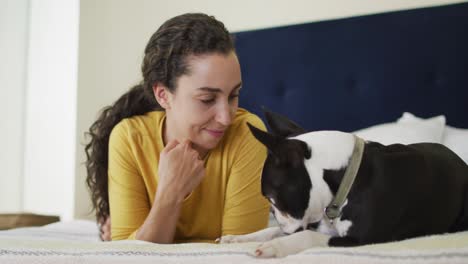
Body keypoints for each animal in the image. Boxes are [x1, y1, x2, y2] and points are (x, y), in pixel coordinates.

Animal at [219, 110, 468, 258]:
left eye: (272, 199)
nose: (277, 217)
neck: (348, 180)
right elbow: (269, 230)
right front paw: (238, 238)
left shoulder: (360, 240)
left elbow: (305, 236)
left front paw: (276, 247)